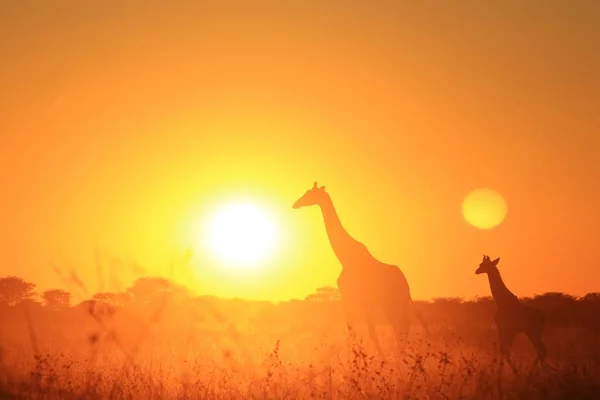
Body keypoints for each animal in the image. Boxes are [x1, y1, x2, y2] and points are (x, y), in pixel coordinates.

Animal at [292, 181, 426, 354]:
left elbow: (370, 333)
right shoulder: (350, 299)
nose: (295, 204)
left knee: (400, 325)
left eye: (309, 193)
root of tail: (406, 283)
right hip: (391, 302)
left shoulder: (362, 300)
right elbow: (353, 331)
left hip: (393, 300)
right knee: (401, 325)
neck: (345, 258)